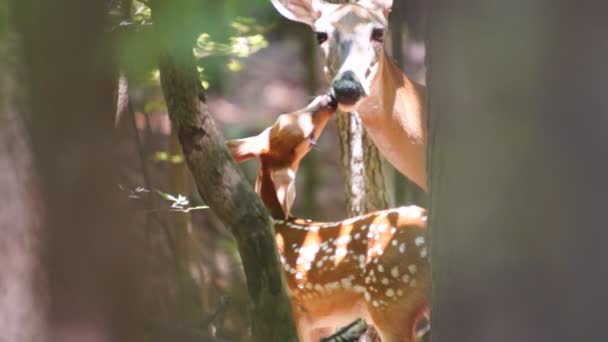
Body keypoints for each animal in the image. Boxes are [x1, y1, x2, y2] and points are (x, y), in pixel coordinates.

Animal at [226, 95, 430, 340]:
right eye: (308, 139)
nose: (328, 99)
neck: (278, 223)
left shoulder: (296, 312)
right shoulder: (319, 324)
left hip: (389, 301)